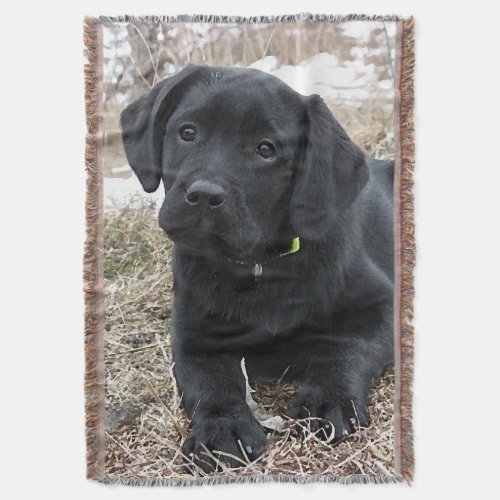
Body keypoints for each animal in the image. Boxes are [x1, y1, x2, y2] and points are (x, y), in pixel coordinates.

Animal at [121, 64, 394, 470]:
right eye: (188, 132)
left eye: (266, 150)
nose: (204, 195)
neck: (260, 268)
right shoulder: (193, 337)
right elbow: (211, 382)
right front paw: (222, 429)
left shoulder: (380, 304)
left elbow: (346, 348)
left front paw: (325, 401)